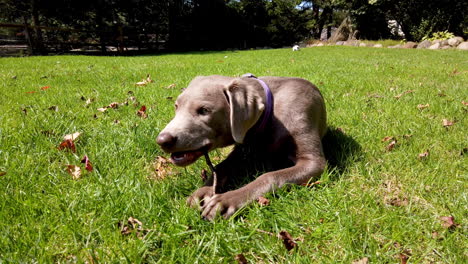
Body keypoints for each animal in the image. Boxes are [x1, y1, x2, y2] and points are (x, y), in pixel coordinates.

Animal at [157, 73, 326, 220]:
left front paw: (226, 200)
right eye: (176, 106)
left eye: (204, 110)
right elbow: (221, 167)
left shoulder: (313, 161)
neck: (271, 115)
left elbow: (270, 176)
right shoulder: (243, 151)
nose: (162, 140)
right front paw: (203, 191)